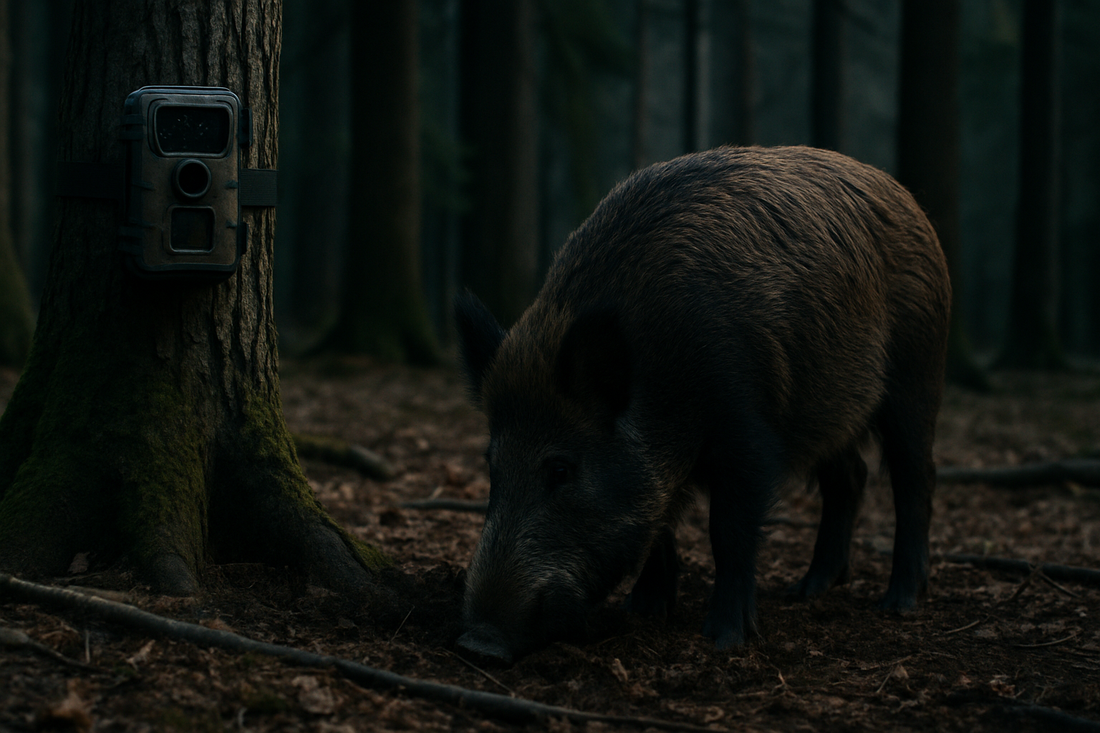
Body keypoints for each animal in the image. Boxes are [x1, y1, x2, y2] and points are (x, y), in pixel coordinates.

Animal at [454, 145, 950, 665]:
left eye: (560, 469)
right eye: (491, 464)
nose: (477, 643)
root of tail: (907, 199)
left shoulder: (748, 432)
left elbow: (727, 530)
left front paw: (724, 638)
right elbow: (660, 526)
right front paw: (642, 612)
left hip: (918, 374)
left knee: (915, 477)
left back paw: (898, 602)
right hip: (827, 410)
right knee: (849, 476)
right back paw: (806, 591)